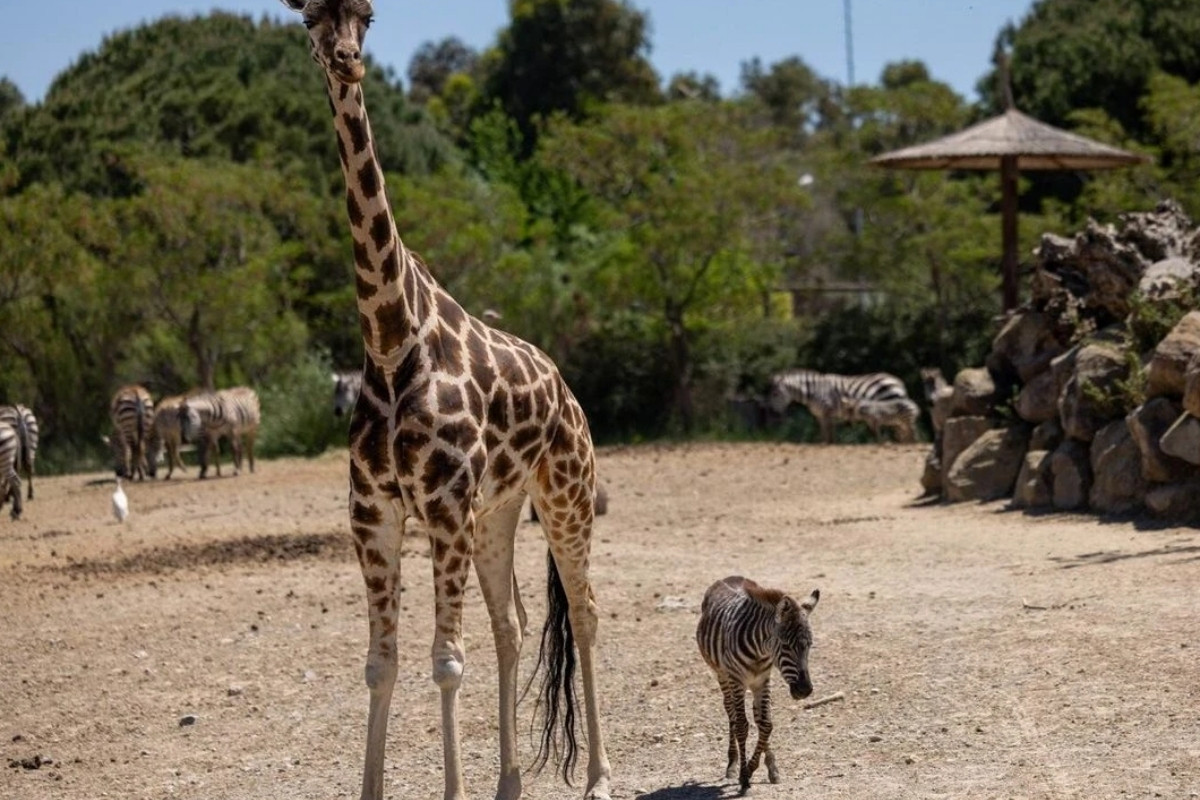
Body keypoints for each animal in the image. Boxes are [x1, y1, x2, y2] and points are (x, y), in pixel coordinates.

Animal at [696, 576, 820, 794]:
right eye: (786, 645)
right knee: (731, 712)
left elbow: (766, 724)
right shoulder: (737, 680)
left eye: (809, 645)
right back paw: (732, 764)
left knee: (758, 717)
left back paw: (770, 767)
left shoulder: (763, 680)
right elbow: (742, 726)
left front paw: (758, 768)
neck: (760, 651)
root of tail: (728, 578)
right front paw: (744, 776)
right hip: (722, 675)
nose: (805, 690)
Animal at [765, 368, 909, 443]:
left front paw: (830, 446)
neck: (813, 391)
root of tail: (898, 381)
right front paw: (823, 444)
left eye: (775, 394)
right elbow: (824, 434)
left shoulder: (828, 412)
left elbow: (830, 435)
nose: (772, 414)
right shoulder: (820, 416)